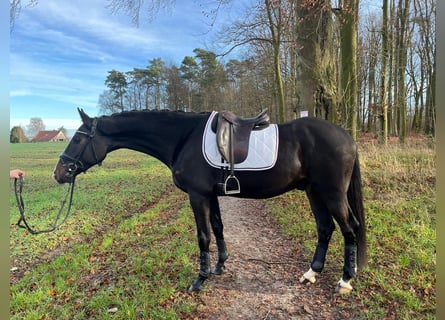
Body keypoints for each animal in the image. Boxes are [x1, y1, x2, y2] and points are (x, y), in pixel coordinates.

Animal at [53, 109, 364, 294]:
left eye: (78, 139)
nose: (59, 173)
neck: (182, 139)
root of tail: (347, 137)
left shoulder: (198, 195)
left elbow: (203, 236)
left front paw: (200, 279)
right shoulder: (211, 195)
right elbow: (217, 228)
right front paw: (220, 266)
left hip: (332, 194)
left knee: (350, 229)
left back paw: (345, 280)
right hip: (314, 192)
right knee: (325, 229)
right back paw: (311, 273)